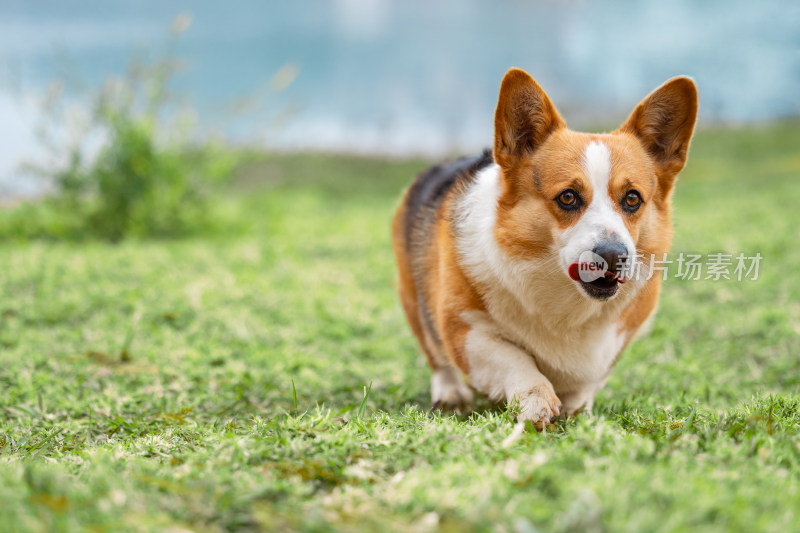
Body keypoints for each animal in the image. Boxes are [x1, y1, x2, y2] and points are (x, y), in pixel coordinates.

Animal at [390, 69, 696, 428]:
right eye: (568, 197)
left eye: (632, 198)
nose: (613, 255)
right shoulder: (464, 328)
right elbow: (513, 357)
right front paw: (535, 400)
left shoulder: (617, 340)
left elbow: (587, 381)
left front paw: (577, 412)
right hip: (414, 299)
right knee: (436, 355)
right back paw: (450, 394)